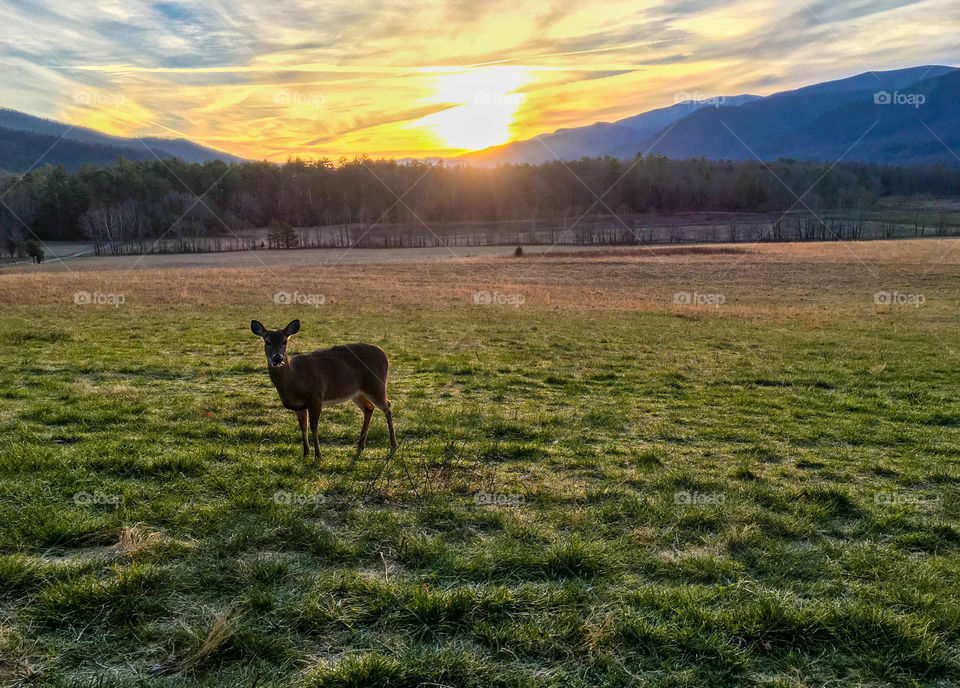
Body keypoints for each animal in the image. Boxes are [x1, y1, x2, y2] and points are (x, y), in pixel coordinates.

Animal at [251, 320, 398, 460]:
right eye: (267, 341)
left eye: (284, 340)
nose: (278, 358)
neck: (295, 379)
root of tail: (384, 354)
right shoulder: (298, 405)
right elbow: (303, 426)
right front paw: (305, 453)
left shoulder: (316, 396)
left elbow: (314, 425)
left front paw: (318, 455)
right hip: (356, 392)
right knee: (369, 408)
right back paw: (360, 445)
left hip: (376, 384)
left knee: (387, 405)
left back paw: (393, 444)